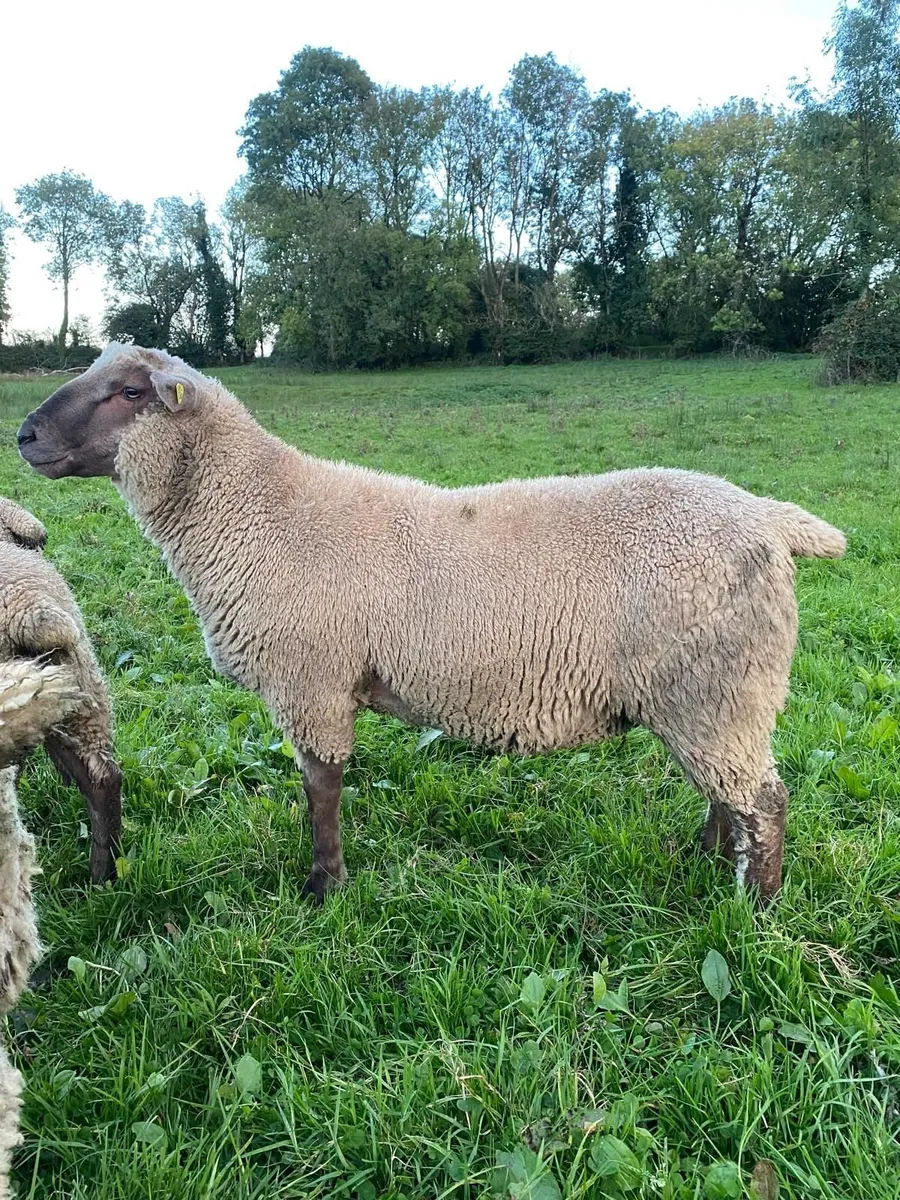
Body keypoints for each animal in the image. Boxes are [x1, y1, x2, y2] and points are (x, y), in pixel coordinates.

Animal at [17, 344, 847, 903]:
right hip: (704, 694)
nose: (23, 435)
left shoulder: (312, 682)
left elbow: (321, 790)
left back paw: (751, 908)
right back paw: (703, 860)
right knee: (726, 792)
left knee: (764, 803)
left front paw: (325, 887)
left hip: (720, 688)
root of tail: (770, 519)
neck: (256, 512)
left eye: (129, 391)